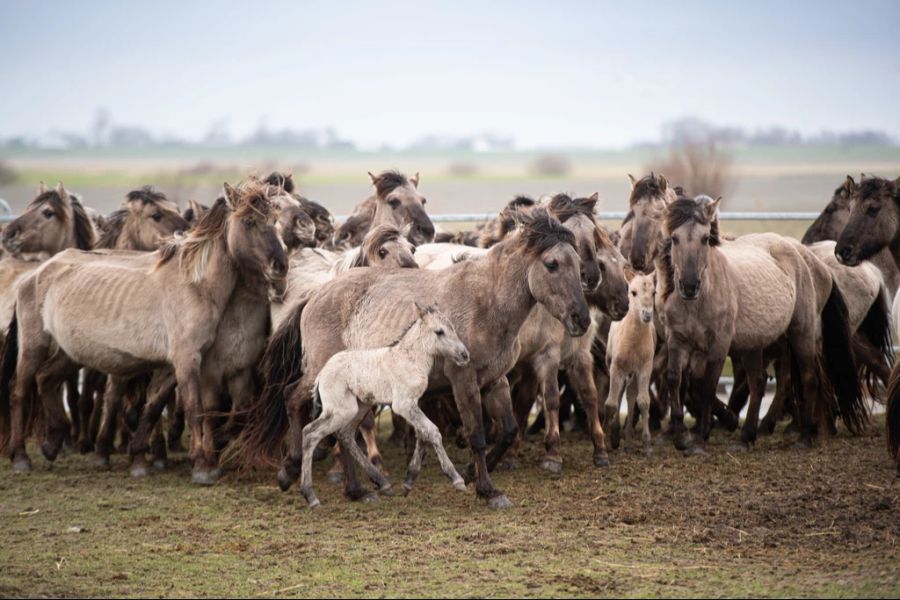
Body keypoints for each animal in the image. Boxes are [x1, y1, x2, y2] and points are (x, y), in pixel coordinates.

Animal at [0, 178, 286, 478]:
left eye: (275, 221)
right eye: (250, 222)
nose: (280, 266)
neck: (195, 285)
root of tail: (36, 272)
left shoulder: (171, 365)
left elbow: (153, 406)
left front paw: (140, 457)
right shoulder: (187, 358)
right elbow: (193, 407)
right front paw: (201, 466)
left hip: (70, 353)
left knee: (46, 378)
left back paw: (52, 443)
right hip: (34, 346)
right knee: (19, 390)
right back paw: (21, 456)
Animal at [236, 209, 596, 508]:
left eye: (578, 263)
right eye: (552, 264)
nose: (582, 319)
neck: (486, 302)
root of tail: (315, 295)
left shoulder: (495, 381)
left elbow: (507, 431)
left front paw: (472, 473)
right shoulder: (463, 380)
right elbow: (477, 434)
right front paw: (487, 490)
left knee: (342, 431)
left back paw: (359, 490)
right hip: (321, 376)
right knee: (294, 399)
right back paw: (292, 472)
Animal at [600, 272, 656, 454]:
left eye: (654, 292)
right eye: (633, 292)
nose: (647, 315)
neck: (633, 342)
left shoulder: (645, 368)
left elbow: (643, 401)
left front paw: (647, 445)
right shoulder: (616, 367)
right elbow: (610, 403)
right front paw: (605, 439)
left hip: (633, 373)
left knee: (630, 396)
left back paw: (628, 440)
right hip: (615, 366)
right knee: (619, 395)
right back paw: (615, 436)